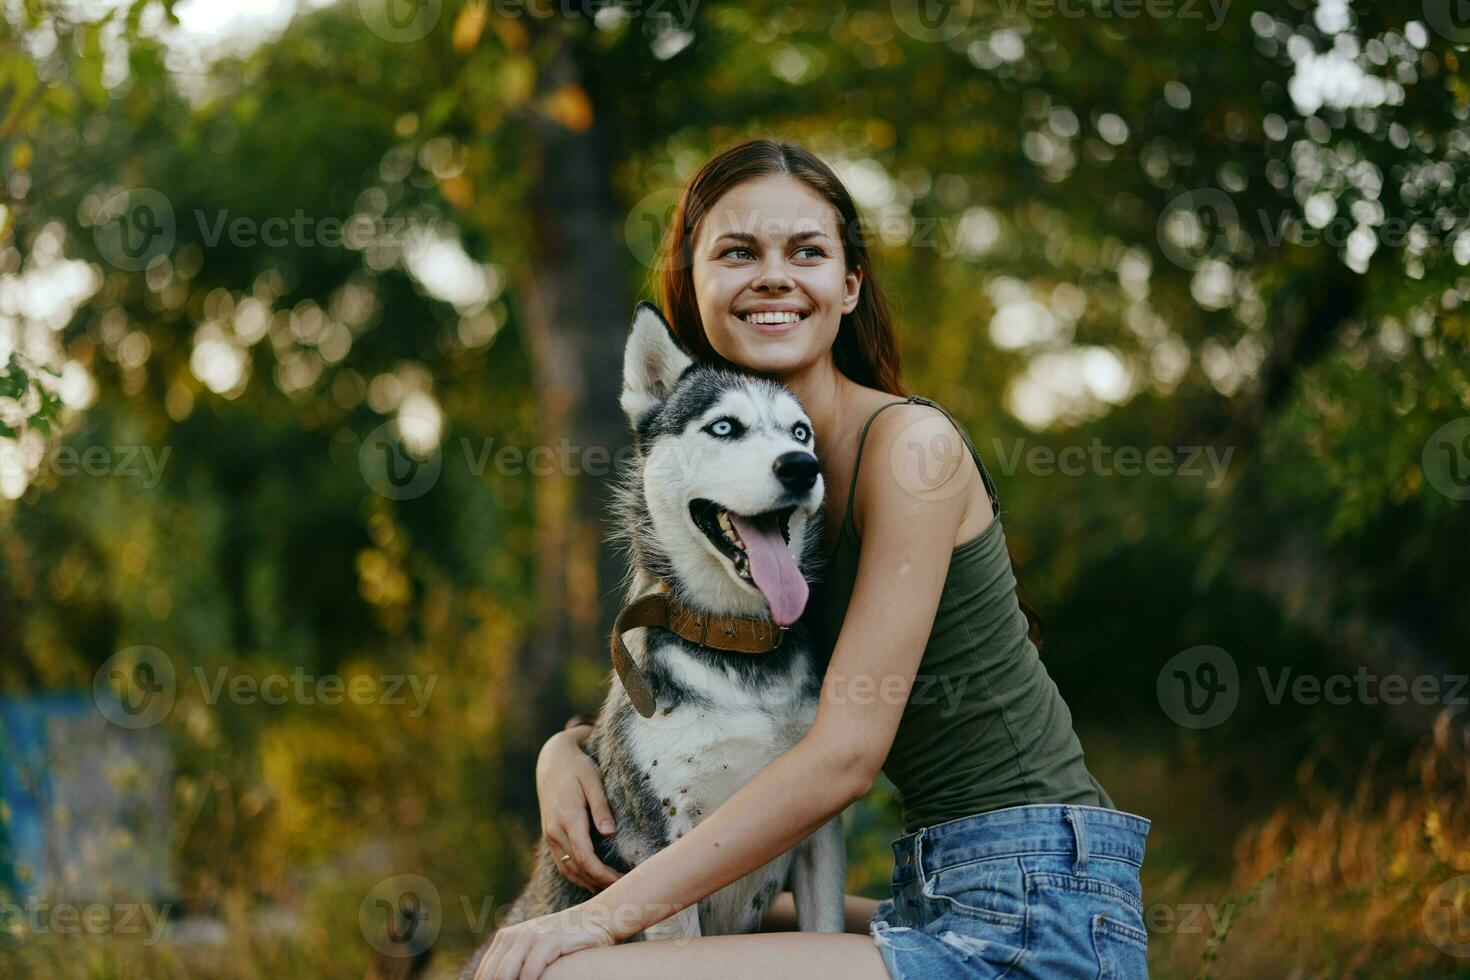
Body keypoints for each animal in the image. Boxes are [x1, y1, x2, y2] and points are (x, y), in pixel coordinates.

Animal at [464, 304, 846, 975]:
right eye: (724, 427)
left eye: (800, 433)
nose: (802, 467)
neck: (735, 645)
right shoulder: (662, 841)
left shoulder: (818, 830)